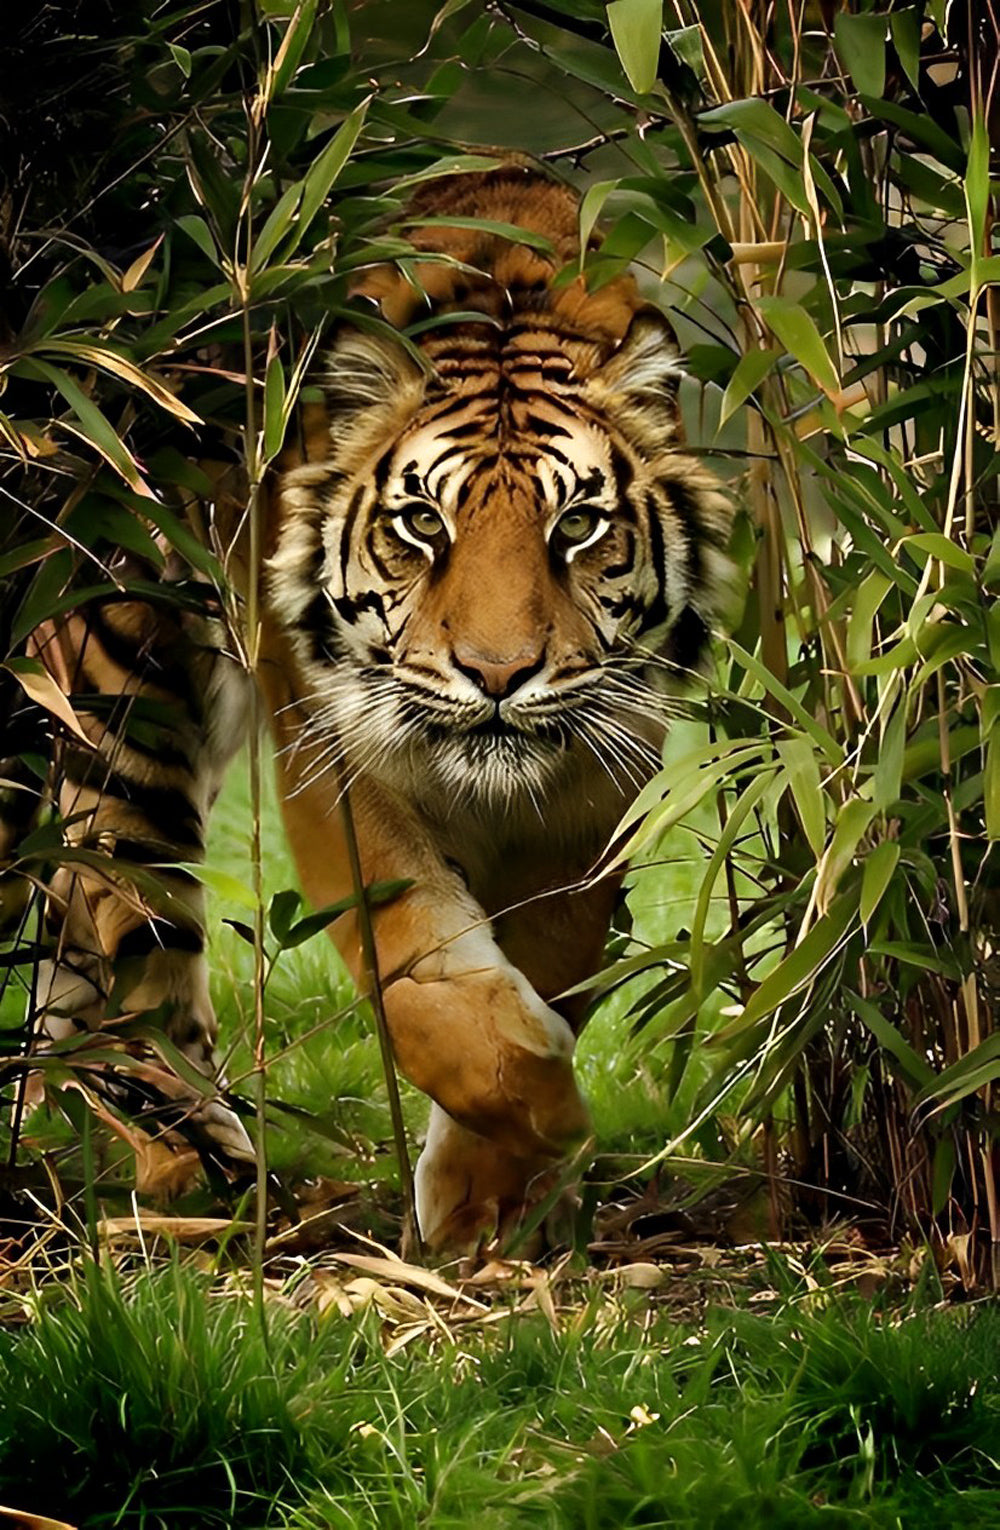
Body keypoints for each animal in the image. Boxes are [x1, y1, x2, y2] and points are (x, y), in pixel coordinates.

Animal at [18, 165, 735, 1253]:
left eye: (576, 526)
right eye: (421, 523)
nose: (497, 674)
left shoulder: (592, 782)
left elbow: (551, 961)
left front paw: (493, 1206)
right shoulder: (339, 759)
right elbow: (427, 978)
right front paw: (549, 1117)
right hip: (127, 707)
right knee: (125, 943)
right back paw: (200, 1175)